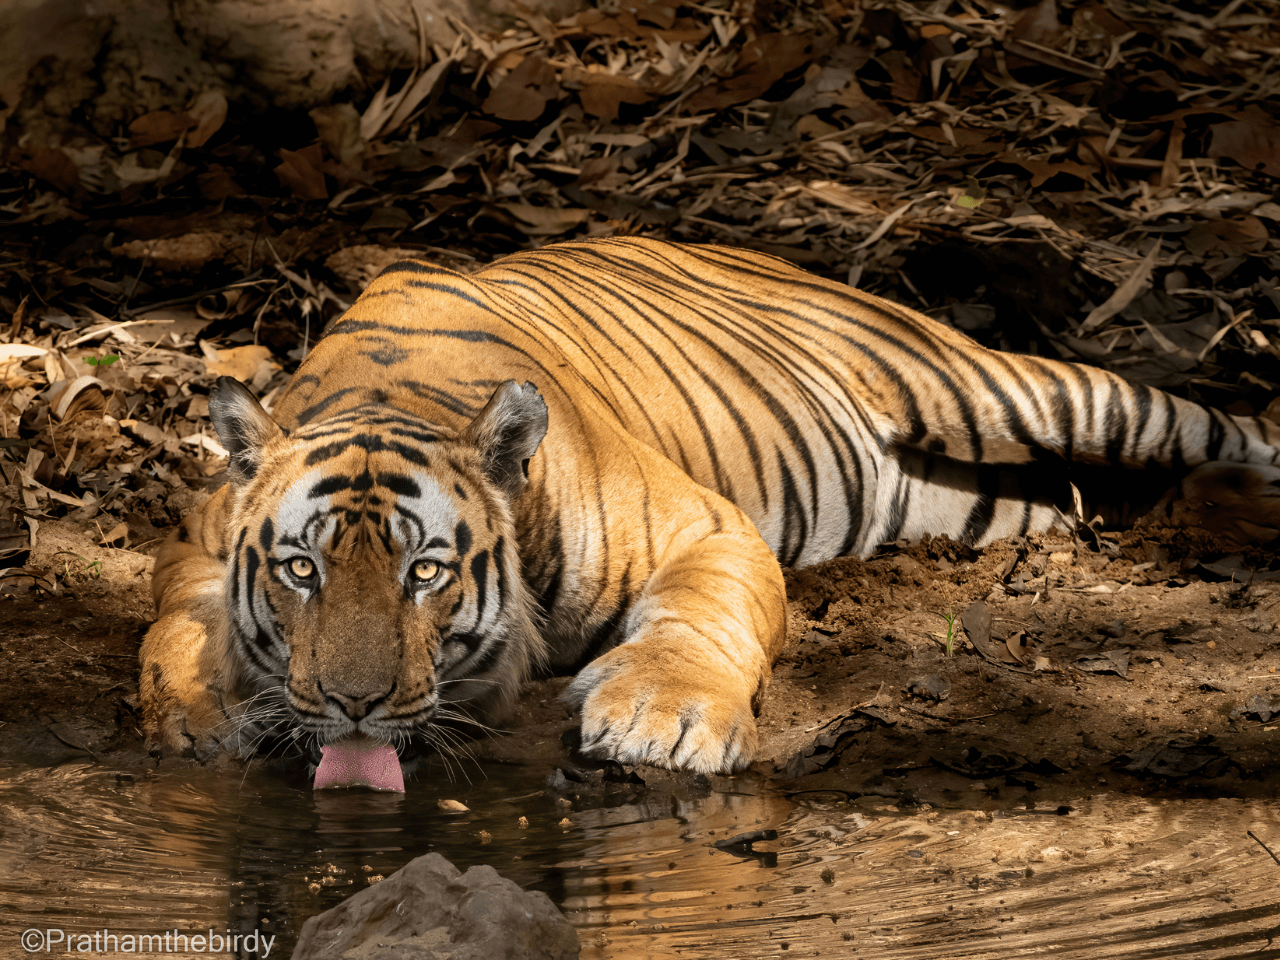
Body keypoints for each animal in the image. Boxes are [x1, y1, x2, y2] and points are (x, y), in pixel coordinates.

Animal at [139, 237, 1280, 776]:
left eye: (427, 573)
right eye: (303, 570)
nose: (352, 706)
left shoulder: (708, 527)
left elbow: (699, 616)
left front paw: (664, 715)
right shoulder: (196, 539)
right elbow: (172, 625)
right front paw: (202, 712)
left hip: (1005, 389)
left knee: (1219, 426)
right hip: (981, 498)